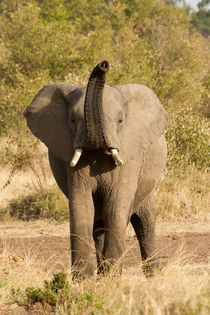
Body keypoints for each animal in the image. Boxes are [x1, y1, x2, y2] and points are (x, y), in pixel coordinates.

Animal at [23, 60, 168, 278]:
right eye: (72, 120)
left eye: (120, 121)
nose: (104, 65)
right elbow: (82, 206)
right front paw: (84, 278)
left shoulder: (130, 155)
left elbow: (115, 207)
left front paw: (112, 277)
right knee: (98, 225)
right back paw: (101, 273)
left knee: (145, 221)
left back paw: (153, 277)